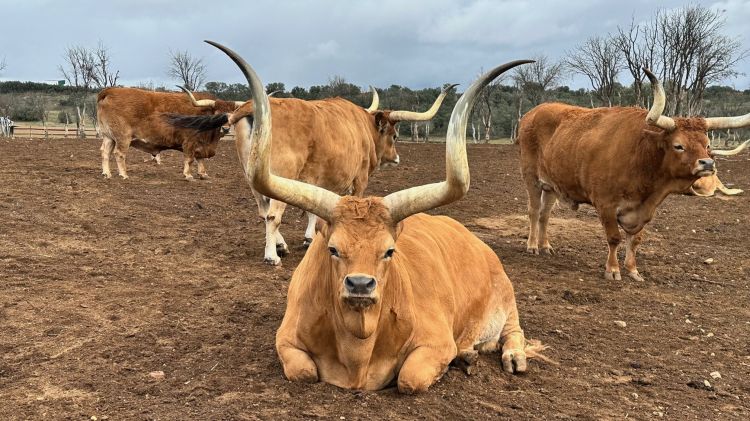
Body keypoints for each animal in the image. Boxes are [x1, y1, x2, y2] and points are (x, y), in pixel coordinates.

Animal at [94, 88, 241, 180]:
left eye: (232, 114)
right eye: (217, 114)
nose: (225, 129)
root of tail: (111, 91)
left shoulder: (201, 145)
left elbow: (200, 158)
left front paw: (203, 174)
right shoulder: (189, 142)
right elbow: (190, 159)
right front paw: (188, 175)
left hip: (109, 137)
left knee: (105, 152)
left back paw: (106, 173)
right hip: (123, 137)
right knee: (119, 154)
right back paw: (123, 175)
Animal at [206, 41, 548, 392]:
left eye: (389, 251)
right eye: (333, 249)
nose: (360, 284)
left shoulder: (436, 343)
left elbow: (410, 378)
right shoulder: (286, 340)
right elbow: (304, 372)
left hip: (507, 299)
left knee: (513, 330)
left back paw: (508, 355)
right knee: (271, 214)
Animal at [520, 68, 750, 282]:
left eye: (707, 144)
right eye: (679, 145)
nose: (708, 163)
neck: (641, 158)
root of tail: (532, 113)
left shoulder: (644, 209)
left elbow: (635, 240)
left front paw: (632, 270)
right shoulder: (605, 205)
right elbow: (614, 238)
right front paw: (613, 270)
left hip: (551, 186)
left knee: (545, 214)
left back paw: (545, 246)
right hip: (531, 178)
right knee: (534, 211)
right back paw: (532, 246)